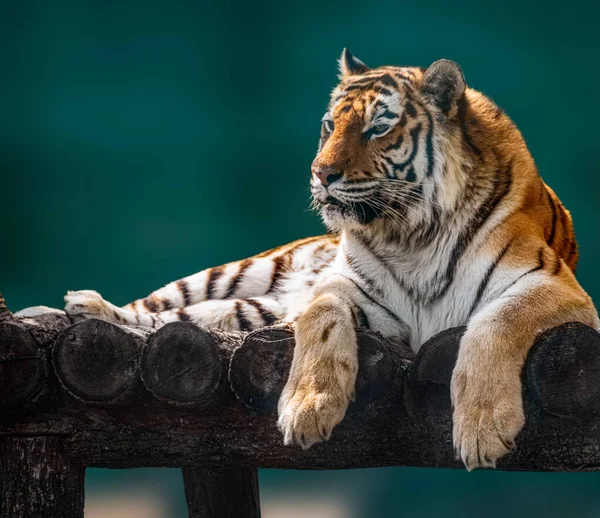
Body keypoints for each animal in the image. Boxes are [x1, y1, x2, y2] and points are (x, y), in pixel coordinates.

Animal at [63, 50, 596, 474]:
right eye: (329, 124)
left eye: (378, 127)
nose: (321, 174)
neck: (411, 235)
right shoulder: (349, 291)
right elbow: (321, 316)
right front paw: (307, 408)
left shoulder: (554, 286)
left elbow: (495, 322)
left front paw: (484, 427)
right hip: (239, 275)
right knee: (155, 308)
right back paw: (79, 306)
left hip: (245, 309)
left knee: (174, 320)